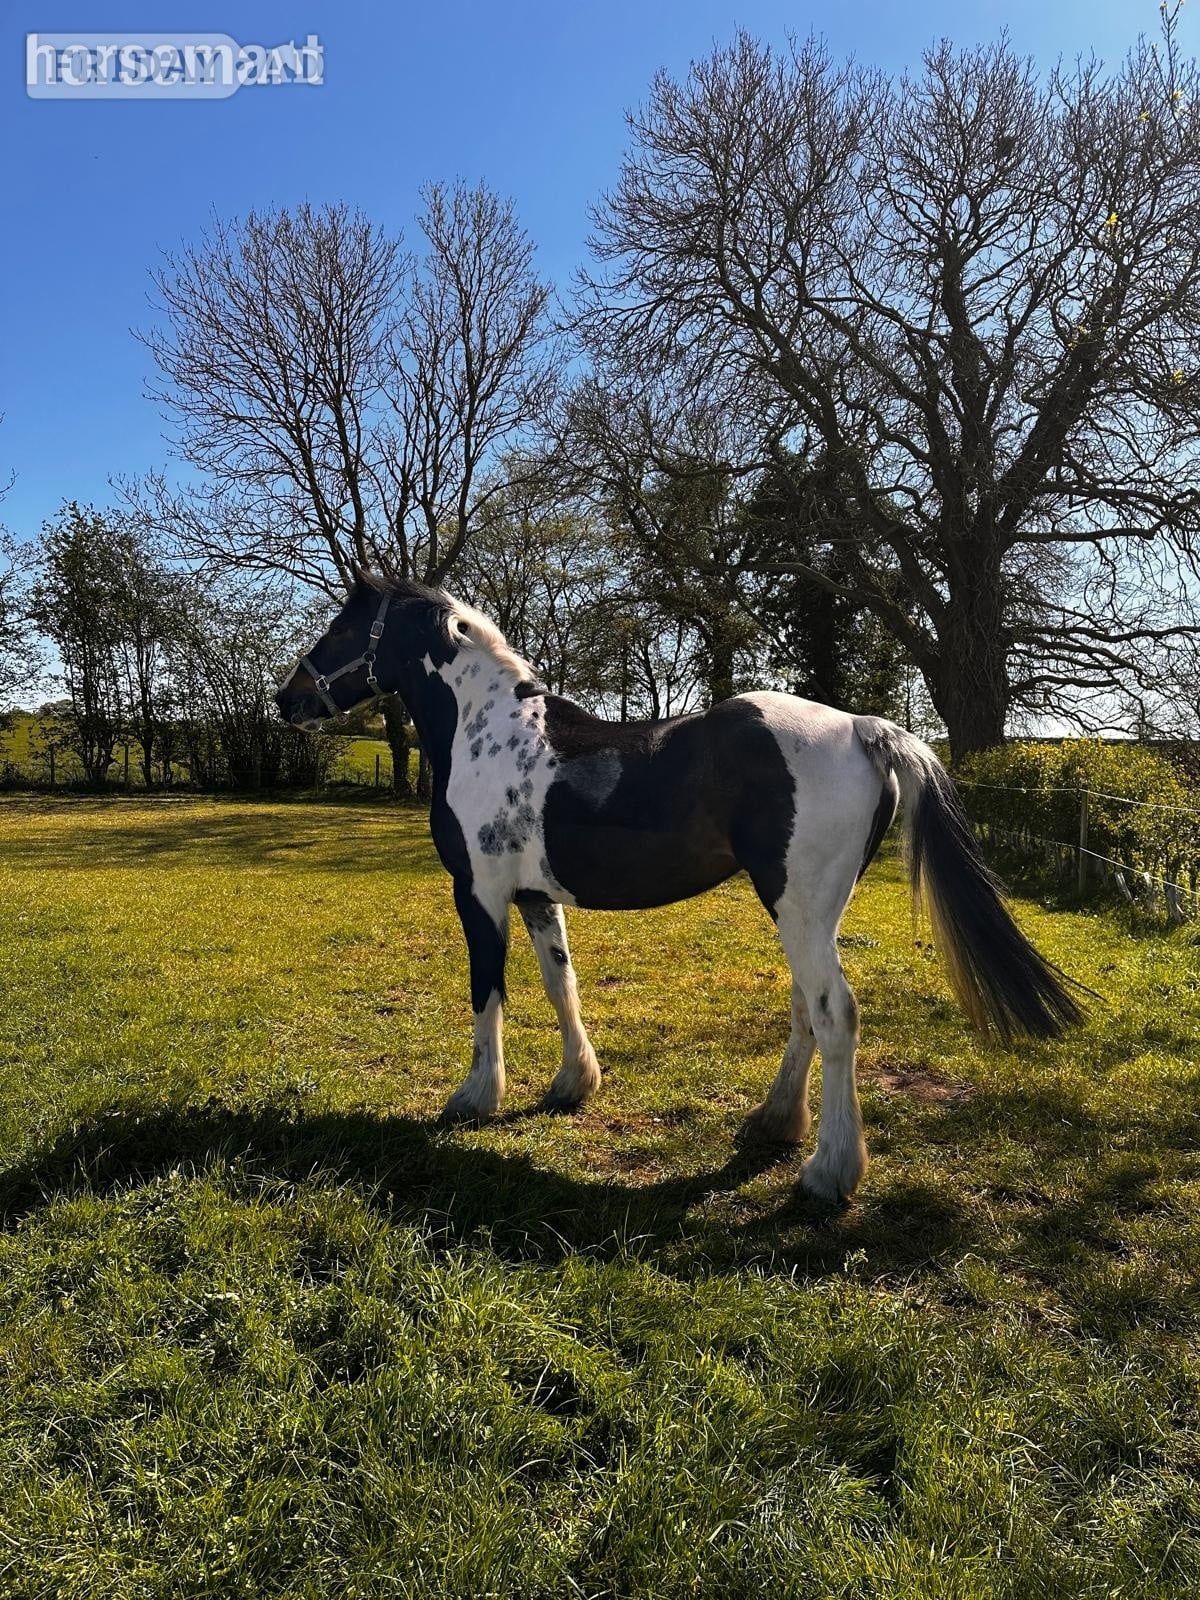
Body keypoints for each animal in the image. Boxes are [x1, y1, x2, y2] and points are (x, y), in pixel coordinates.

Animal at [276, 571, 1083, 1202]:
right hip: (805, 912)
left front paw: (474, 1099)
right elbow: (560, 986)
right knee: (806, 1009)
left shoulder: (477, 897)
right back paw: (775, 1124)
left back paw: (829, 1172)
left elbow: (487, 996)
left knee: (835, 1014)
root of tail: (863, 727)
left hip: (798, 908)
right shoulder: (536, 900)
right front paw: (573, 1084)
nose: (288, 700)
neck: (486, 732)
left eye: (343, 624)